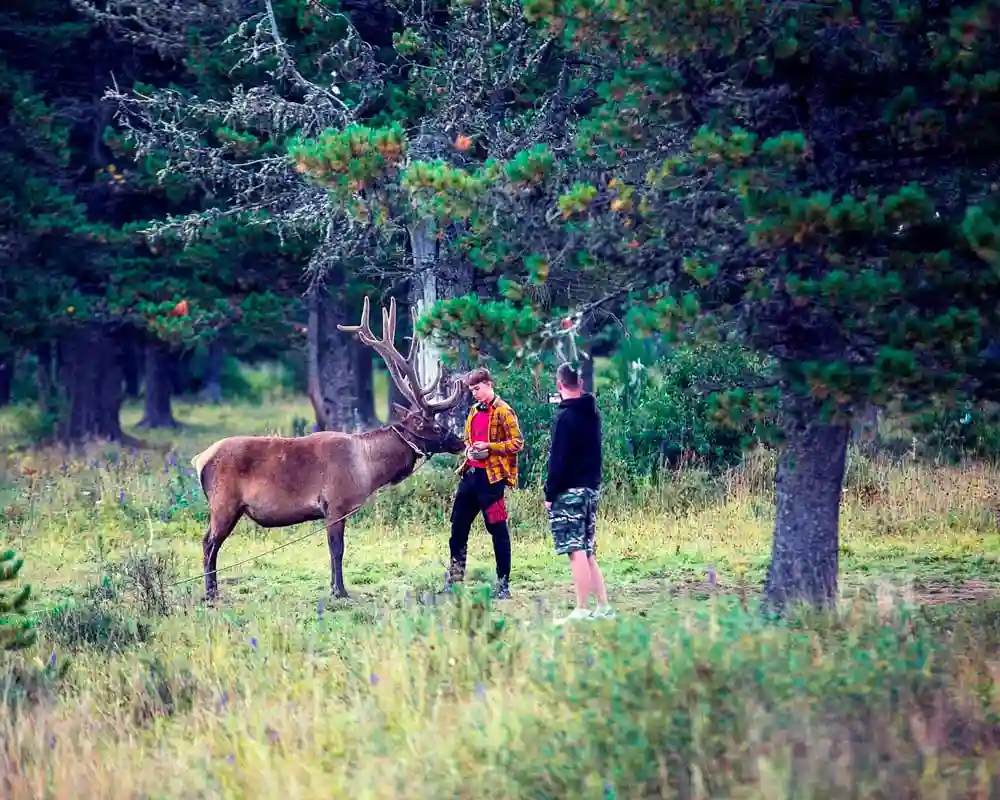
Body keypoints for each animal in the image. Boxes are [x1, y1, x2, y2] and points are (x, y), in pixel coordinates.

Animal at [192, 296, 468, 604]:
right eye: (435, 426)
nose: (460, 442)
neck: (368, 469)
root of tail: (199, 459)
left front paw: (337, 589)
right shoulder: (335, 504)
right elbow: (337, 549)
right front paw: (340, 591)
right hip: (223, 504)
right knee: (208, 543)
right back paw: (211, 594)